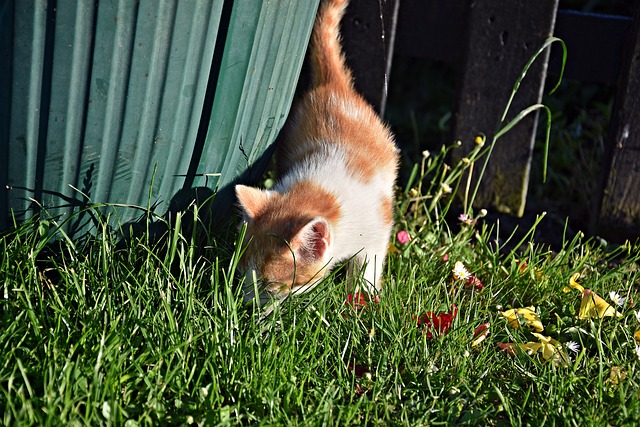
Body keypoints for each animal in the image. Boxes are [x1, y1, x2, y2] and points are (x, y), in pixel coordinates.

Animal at [232, 0, 398, 302]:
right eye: (242, 275)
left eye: (271, 287)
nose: (246, 303)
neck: (324, 194)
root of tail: (332, 85)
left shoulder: (378, 226)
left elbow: (369, 261)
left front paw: (362, 298)